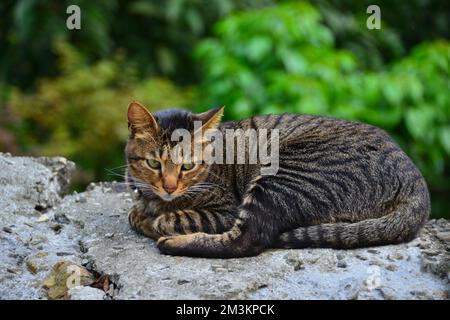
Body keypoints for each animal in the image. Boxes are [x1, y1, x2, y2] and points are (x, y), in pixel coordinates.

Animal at [125, 102, 430, 258]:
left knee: (247, 240)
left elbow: (167, 219)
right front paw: (143, 211)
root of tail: (416, 180)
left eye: (187, 166)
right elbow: (137, 211)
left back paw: (171, 243)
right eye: (154, 163)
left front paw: (152, 219)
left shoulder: (224, 211)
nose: (169, 187)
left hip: (280, 178)